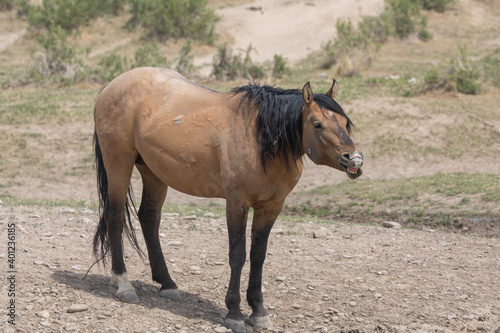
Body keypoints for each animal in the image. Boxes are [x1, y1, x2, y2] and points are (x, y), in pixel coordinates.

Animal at [91, 66, 364, 330]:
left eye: (344, 122)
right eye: (317, 124)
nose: (354, 159)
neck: (262, 142)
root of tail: (110, 87)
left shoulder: (270, 208)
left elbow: (258, 256)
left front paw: (259, 312)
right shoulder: (237, 204)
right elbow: (238, 255)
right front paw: (234, 313)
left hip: (153, 172)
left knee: (148, 218)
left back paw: (167, 283)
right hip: (119, 163)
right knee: (114, 216)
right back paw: (124, 284)